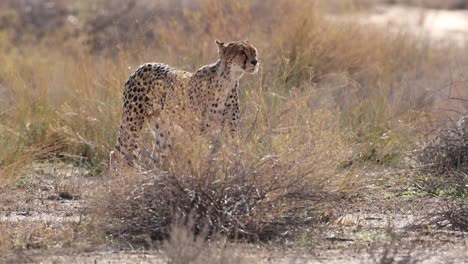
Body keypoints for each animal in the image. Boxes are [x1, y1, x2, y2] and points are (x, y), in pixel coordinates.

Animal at [114, 39, 260, 165]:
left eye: (254, 51)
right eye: (241, 52)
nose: (255, 61)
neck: (228, 80)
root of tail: (143, 66)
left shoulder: (231, 128)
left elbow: (233, 150)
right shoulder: (199, 131)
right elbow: (202, 154)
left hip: (164, 130)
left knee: (156, 155)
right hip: (132, 123)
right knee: (119, 152)